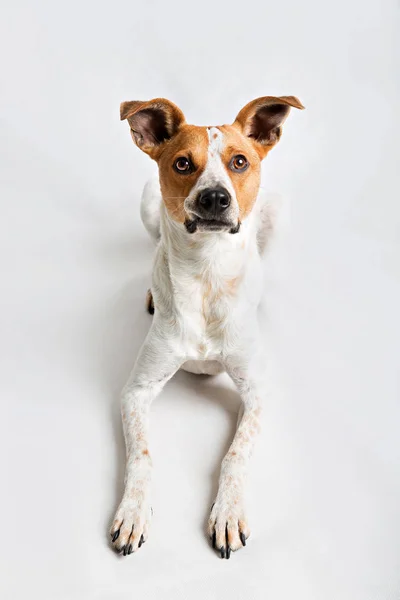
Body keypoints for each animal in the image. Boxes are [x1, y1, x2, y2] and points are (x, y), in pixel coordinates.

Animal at [109, 94, 304, 556]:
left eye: (239, 161)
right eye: (182, 163)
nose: (215, 198)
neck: (206, 275)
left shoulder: (257, 392)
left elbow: (236, 454)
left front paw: (228, 512)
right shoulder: (136, 391)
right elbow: (141, 456)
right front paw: (133, 511)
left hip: (278, 211)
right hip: (147, 201)